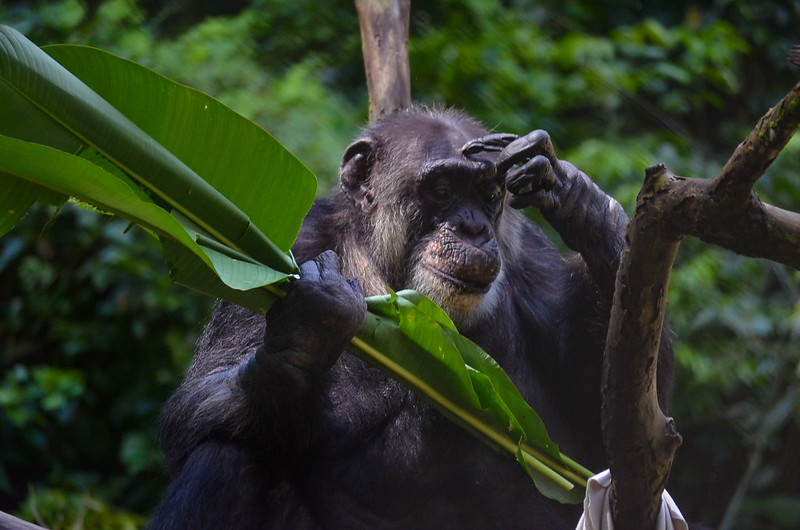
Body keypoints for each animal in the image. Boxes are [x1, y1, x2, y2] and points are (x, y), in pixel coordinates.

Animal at [147, 105, 672, 524]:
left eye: (488, 193)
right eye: (441, 190)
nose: (473, 226)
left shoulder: (531, 258)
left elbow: (607, 438)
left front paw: (570, 193)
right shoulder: (291, 251)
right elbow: (198, 398)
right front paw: (305, 335)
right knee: (226, 453)